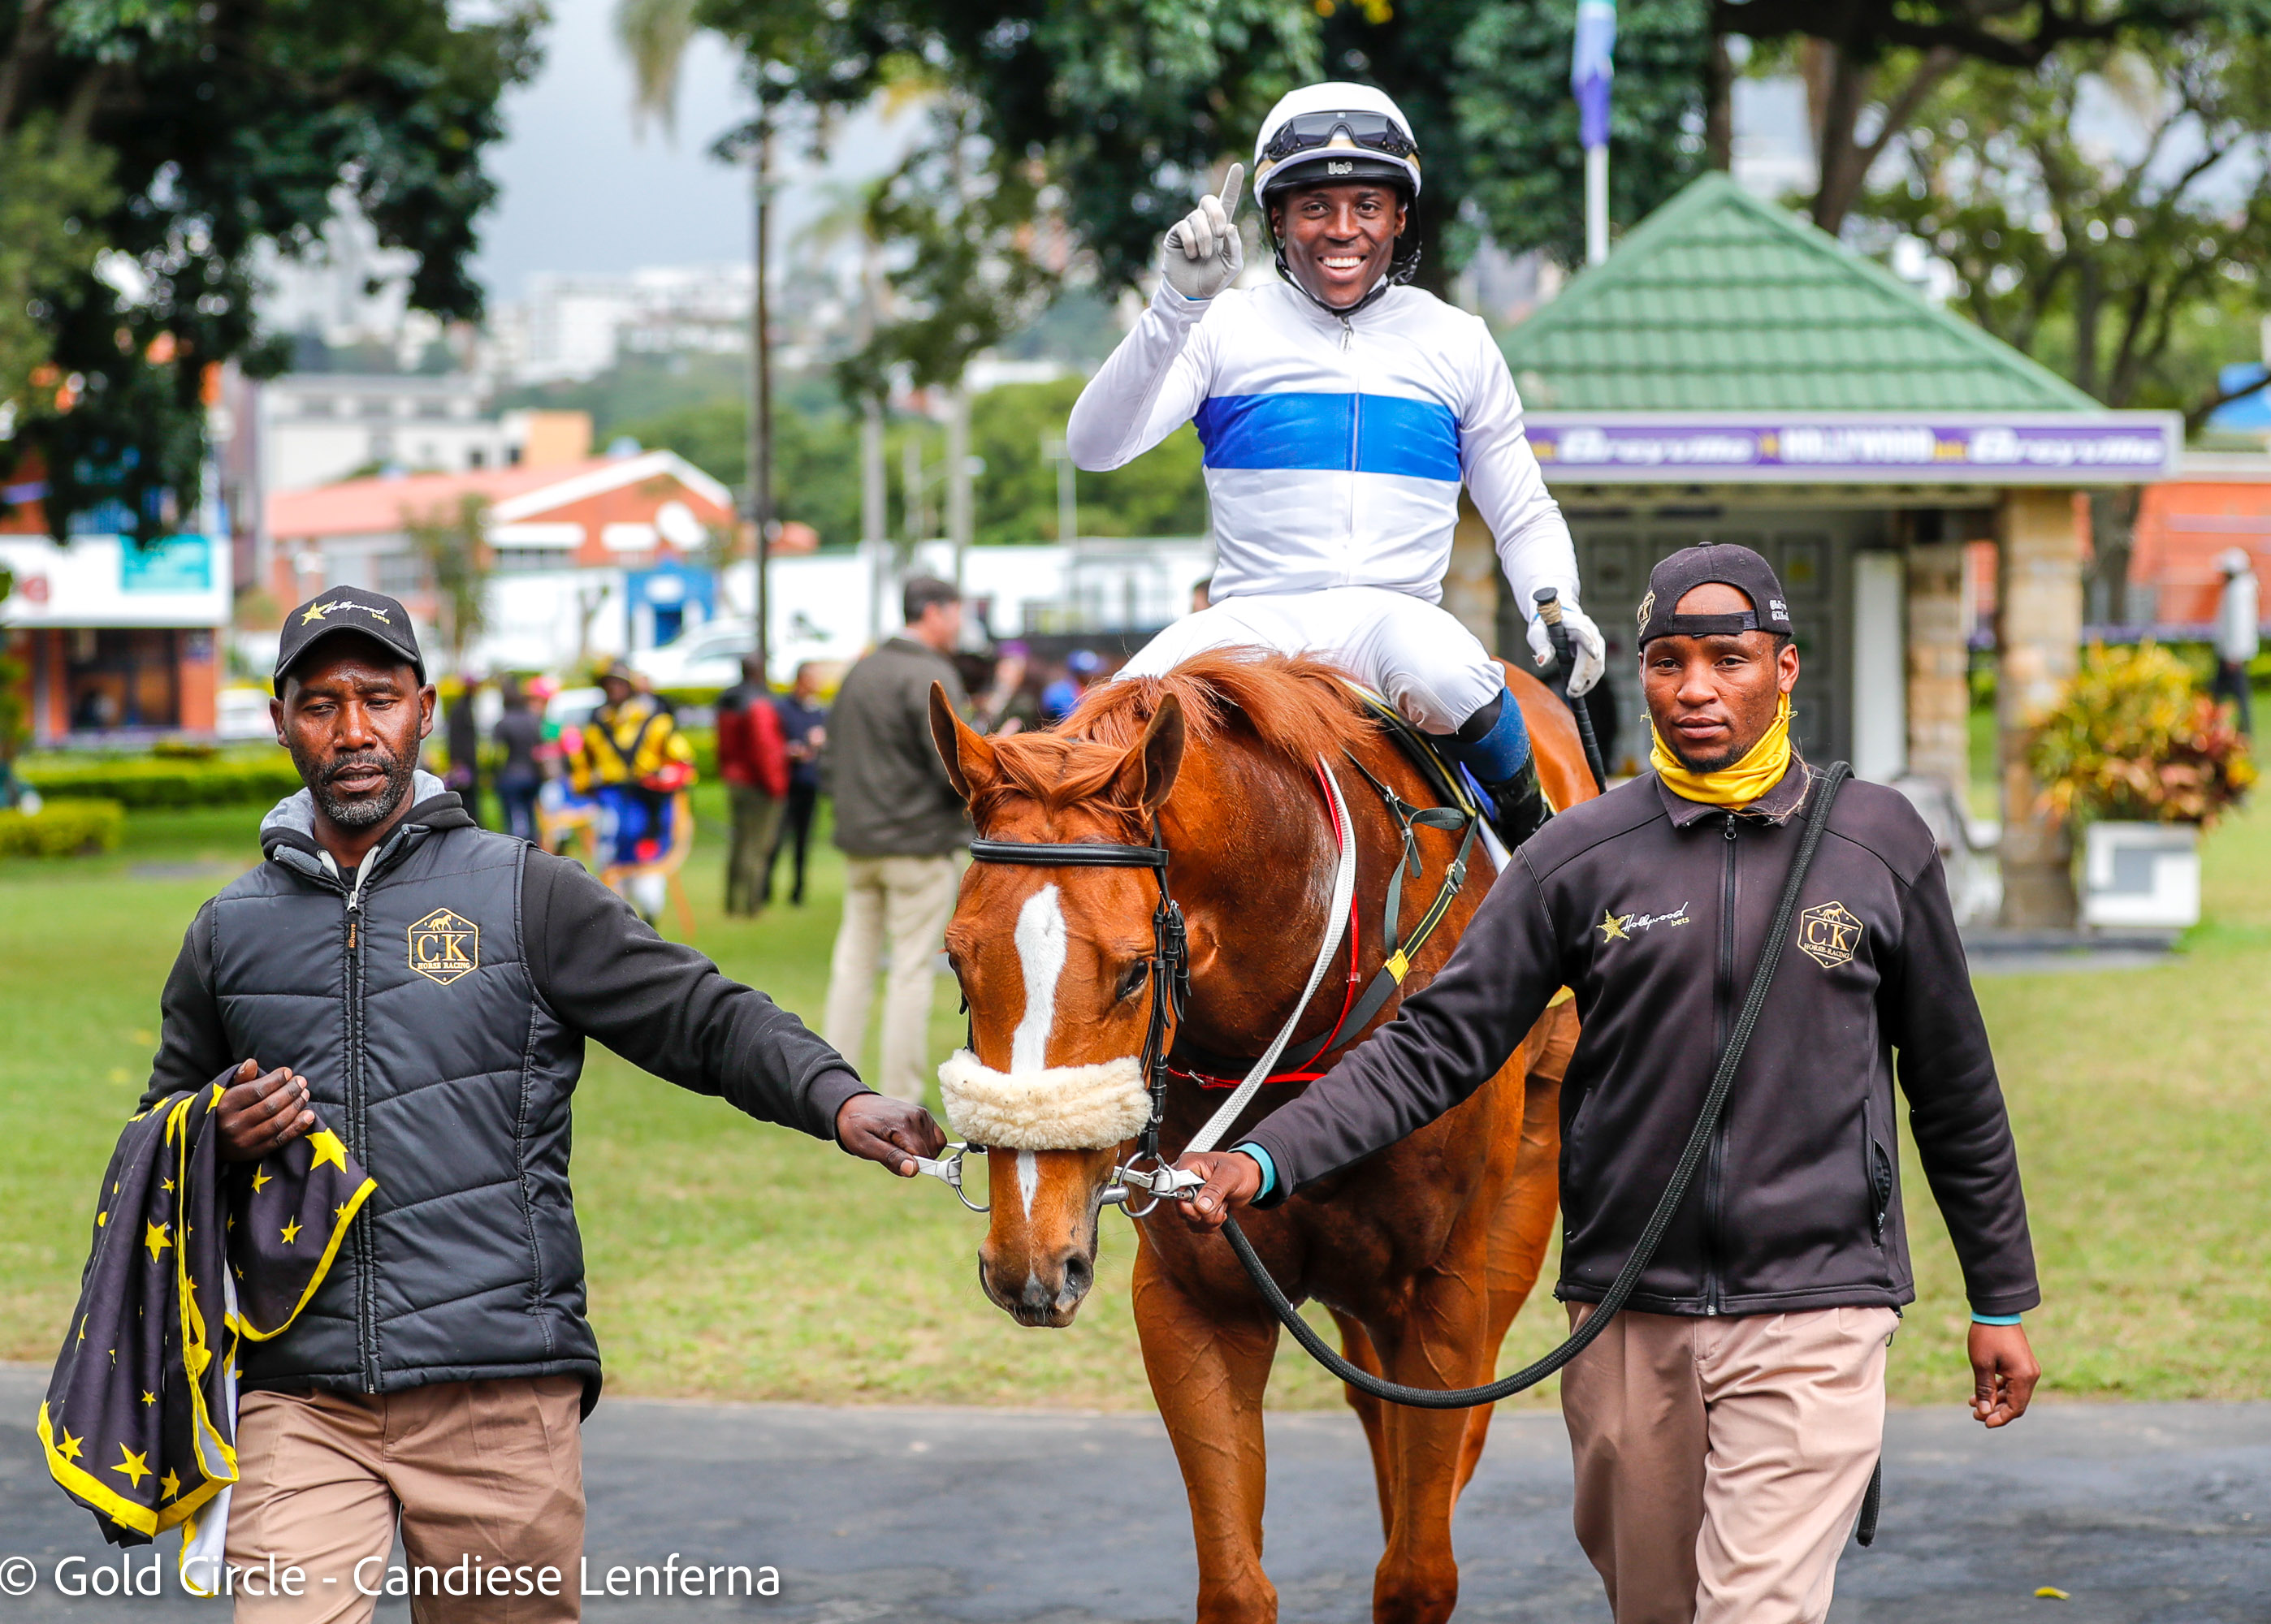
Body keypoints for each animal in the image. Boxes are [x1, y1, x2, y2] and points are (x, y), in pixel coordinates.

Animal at [927, 650, 1597, 1624]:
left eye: (1136, 972)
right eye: (957, 960)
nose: (1029, 1257)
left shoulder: (1442, 1292)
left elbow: (1418, 1567)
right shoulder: (1194, 1297)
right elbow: (1237, 1583)